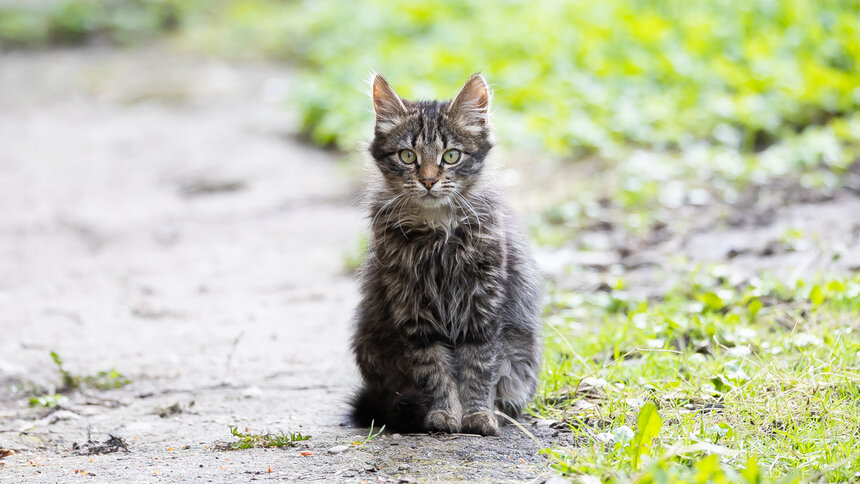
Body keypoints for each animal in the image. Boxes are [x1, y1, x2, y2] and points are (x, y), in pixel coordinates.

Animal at [348, 73, 536, 436]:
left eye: (451, 156)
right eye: (408, 156)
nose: (429, 181)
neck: (437, 232)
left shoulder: (483, 308)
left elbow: (479, 369)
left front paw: (478, 417)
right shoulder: (413, 311)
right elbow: (434, 371)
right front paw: (444, 415)